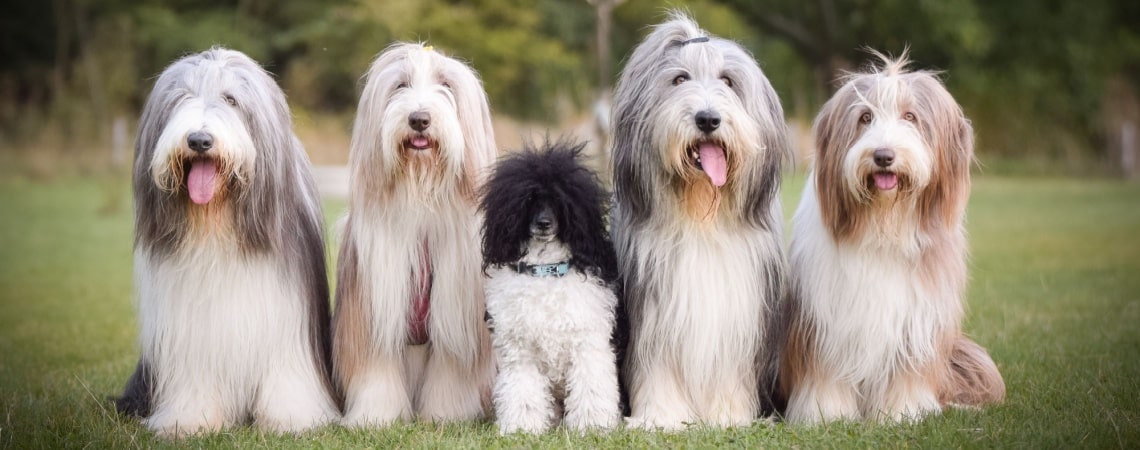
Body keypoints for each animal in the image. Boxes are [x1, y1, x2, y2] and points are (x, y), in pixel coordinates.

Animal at [481, 141, 624, 437]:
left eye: (560, 201)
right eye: (529, 200)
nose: (544, 223)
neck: (546, 269)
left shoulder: (588, 345)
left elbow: (591, 389)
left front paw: (592, 427)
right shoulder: (520, 352)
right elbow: (522, 393)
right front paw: (521, 429)